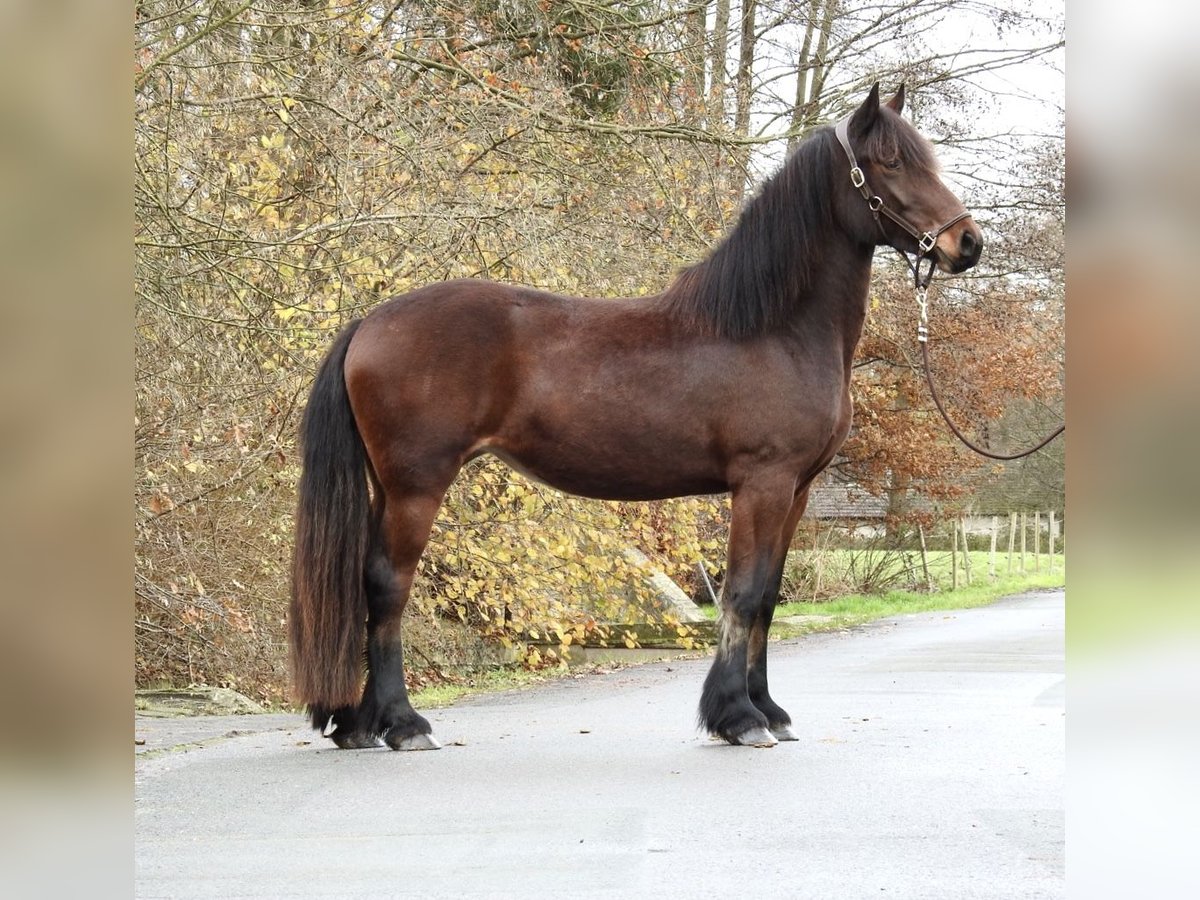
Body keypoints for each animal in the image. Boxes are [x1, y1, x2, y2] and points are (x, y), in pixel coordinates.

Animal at [290, 84, 984, 748]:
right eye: (890, 161)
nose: (967, 243)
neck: (774, 328)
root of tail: (369, 323)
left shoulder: (798, 490)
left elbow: (768, 599)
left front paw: (769, 710)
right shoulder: (762, 483)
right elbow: (743, 594)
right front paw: (737, 717)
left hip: (389, 486)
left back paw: (358, 725)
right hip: (417, 485)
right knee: (388, 586)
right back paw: (404, 724)